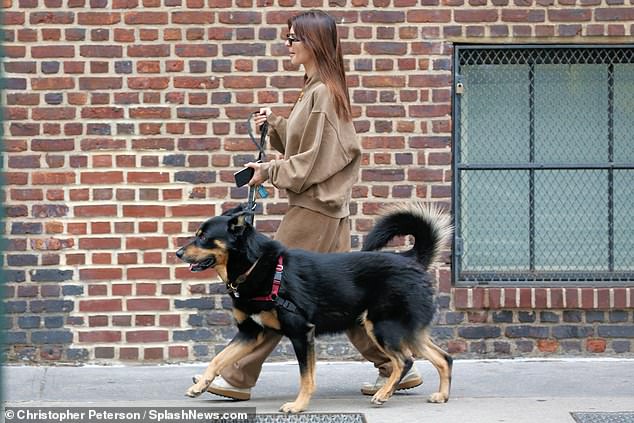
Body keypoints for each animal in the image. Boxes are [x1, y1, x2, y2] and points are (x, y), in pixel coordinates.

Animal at [178, 203, 452, 414]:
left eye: (203, 237)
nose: (178, 253)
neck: (254, 267)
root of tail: (411, 260)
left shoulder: (301, 332)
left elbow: (306, 376)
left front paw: (298, 406)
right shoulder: (251, 333)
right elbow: (219, 358)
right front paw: (200, 386)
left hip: (382, 327)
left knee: (404, 360)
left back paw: (384, 393)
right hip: (405, 330)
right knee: (443, 358)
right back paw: (441, 395)